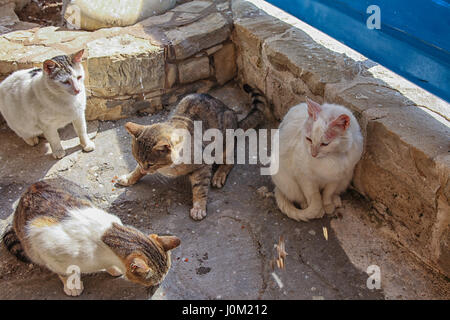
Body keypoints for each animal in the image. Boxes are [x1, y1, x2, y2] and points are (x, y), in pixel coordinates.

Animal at [3, 180, 180, 298]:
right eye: (156, 279)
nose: (159, 285)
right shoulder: (45, 244)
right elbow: (64, 272)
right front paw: (72, 285)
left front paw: (113, 269)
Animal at [116, 84, 268, 221]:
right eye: (137, 160)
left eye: (151, 164)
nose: (144, 169)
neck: (169, 167)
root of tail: (235, 119)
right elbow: (136, 171)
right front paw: (129, 178)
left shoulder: (203, 165)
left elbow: (200, 188)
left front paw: (199, 207)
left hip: (225, 143)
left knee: (230, 161)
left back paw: (219, 175)